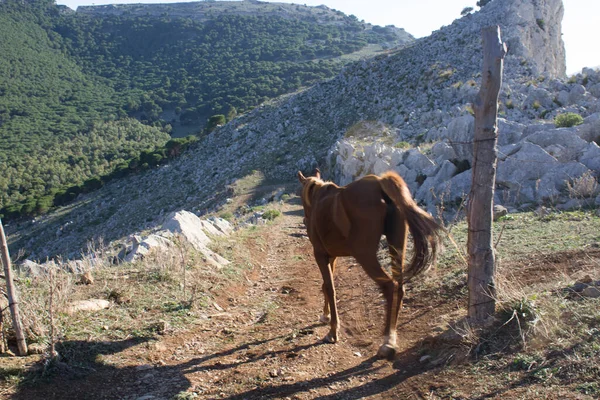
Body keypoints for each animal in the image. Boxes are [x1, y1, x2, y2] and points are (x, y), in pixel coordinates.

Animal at [296, 170, 440, 358]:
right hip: (396, 246)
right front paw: (325, 316)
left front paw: (333, 331)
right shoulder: (332, 256)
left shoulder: (320, 255)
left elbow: (330, 288)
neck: (319, 200)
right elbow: (325, 286)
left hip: (365, 255)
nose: (305, 221)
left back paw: (388, 342)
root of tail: (379, 184)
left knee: (389, 287)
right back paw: (392, 334)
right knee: (399, 287)